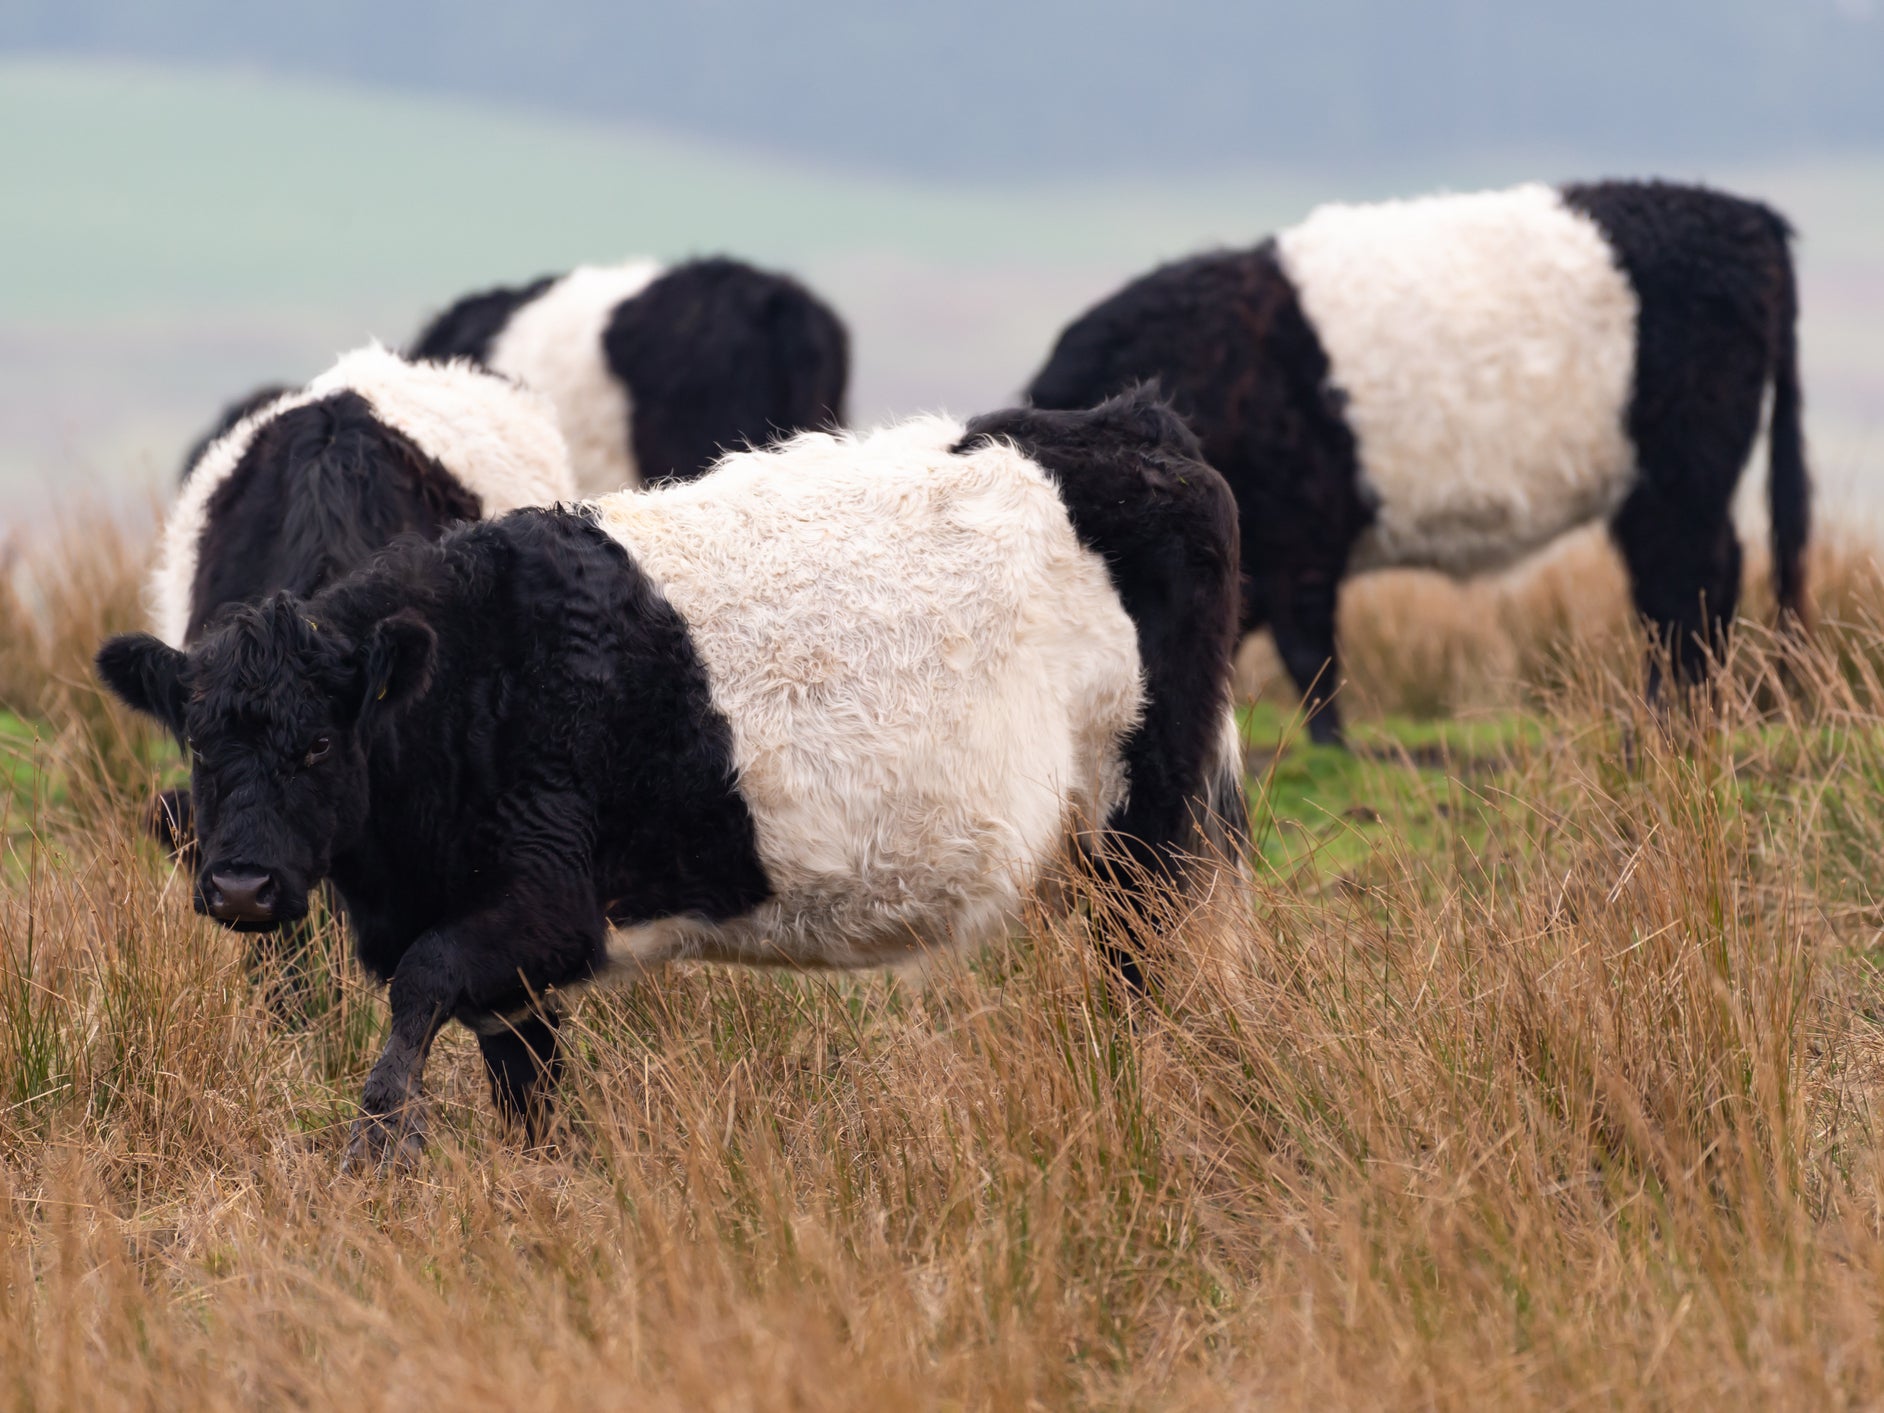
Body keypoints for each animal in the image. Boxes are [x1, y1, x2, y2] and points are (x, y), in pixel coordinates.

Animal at [99, 389, 1250, 1175]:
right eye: (201, 744)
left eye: (318, 747)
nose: (241, 887)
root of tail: (1131, 423)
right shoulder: (502, 952)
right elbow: (525, 1084)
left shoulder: (552, 905)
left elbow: (422, 985)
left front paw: (379, 1142)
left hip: (1144, 808)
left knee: (1139, 956)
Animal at [1032, 179, 1808, 742]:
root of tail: (1747, 215)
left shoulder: (1300, 535)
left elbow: (1309, 652)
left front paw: (1333, 747)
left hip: (1680, 473)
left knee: (1689, 584)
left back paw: (1666, 718)